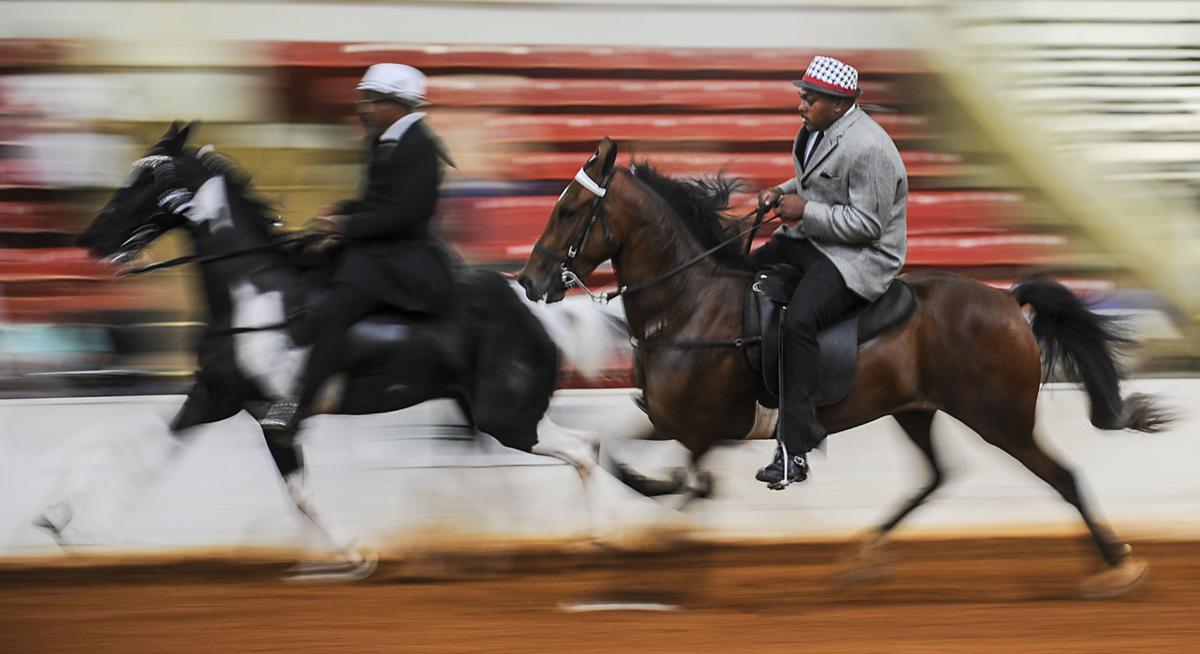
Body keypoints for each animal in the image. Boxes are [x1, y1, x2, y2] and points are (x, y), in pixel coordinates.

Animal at [36, 123, 627, 580]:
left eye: (150, 177)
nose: (90, 239)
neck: (252, 294)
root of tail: (536, 308)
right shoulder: (215, 398)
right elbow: (140, 447)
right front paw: (62, 520)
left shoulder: (277, 419)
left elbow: (298, 493)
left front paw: (354, 555)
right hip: (476, 410)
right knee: (508, 462)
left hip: (507, 413)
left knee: (584, 448)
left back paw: (599, 539)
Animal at [517, 137, 1173, 597]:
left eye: (570, 210)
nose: (529, 280)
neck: (690, 306)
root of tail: (1007, 300)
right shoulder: (667, 419)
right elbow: (617, 453)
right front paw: (643, 509)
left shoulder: (707, 431)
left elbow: (687, 483)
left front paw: (660, 534)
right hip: (918, 411)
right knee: (937, 476)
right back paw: (863, 555)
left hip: (1000, 417)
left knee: (1062, 477)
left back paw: (1118, 566)